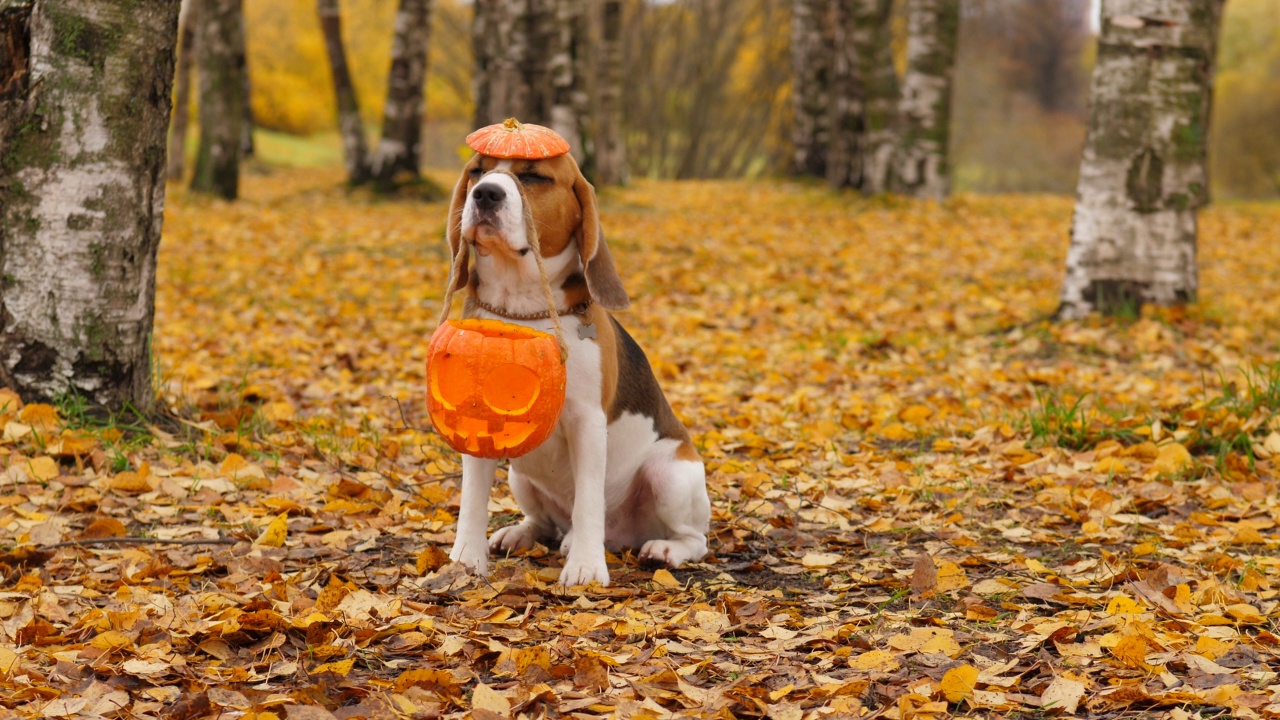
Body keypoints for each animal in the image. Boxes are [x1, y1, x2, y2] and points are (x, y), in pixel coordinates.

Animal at [448, 149, 711, 584]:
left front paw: (586, 567)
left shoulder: (588, 422)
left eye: (535, 176)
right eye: (477, 171)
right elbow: (472, 499)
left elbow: (588, 499)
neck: (523, 308)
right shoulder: (479, 421)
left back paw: (662, 549)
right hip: (521, 477)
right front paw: (465, 561)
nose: (485, 194)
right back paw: (521, 533)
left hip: (671, 474)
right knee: (547, 524)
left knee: (694, 539)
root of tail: (623, 535)